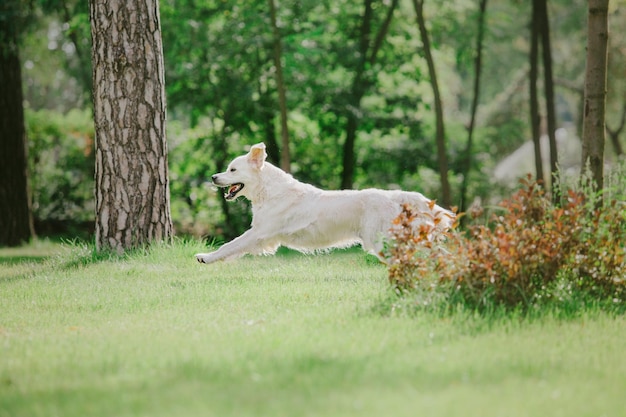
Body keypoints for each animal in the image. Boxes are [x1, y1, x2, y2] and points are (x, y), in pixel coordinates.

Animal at [193, 143, 450, 264]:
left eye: (232, 170)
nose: (213, 177)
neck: (269, 191)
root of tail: (398, 196)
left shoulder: (258, 233)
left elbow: (229, 246)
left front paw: (206, 257)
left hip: (383, 240)